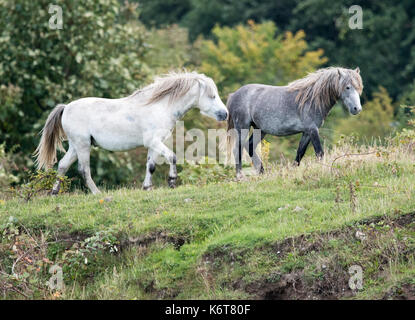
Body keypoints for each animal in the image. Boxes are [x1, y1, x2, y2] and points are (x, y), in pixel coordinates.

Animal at [35, 71, 231, 194]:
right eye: (212, 96)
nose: (225, 114)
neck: (159, 106)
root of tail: (66, 107)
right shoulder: (155, 142)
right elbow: (173, 157)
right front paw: (172, 181)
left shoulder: (154, 145)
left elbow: (151, 166)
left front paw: (147, 187)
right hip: (82, 146)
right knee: (84, 170)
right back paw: (97, 193)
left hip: (76, 146)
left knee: (62, 165)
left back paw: (54, 192)